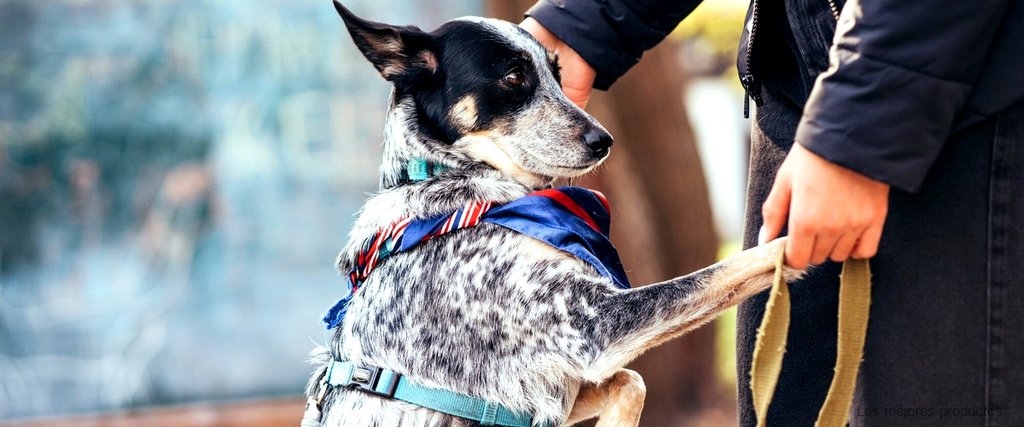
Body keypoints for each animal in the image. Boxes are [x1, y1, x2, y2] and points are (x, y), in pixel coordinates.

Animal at [303, 1, 798, 423]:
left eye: (557, 76)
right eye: (514, 77)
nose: (603, 140)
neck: (461, 185)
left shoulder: (558, 388)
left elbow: (632, 381)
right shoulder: (594, 327)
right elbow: (733, 266)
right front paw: (805, 232)